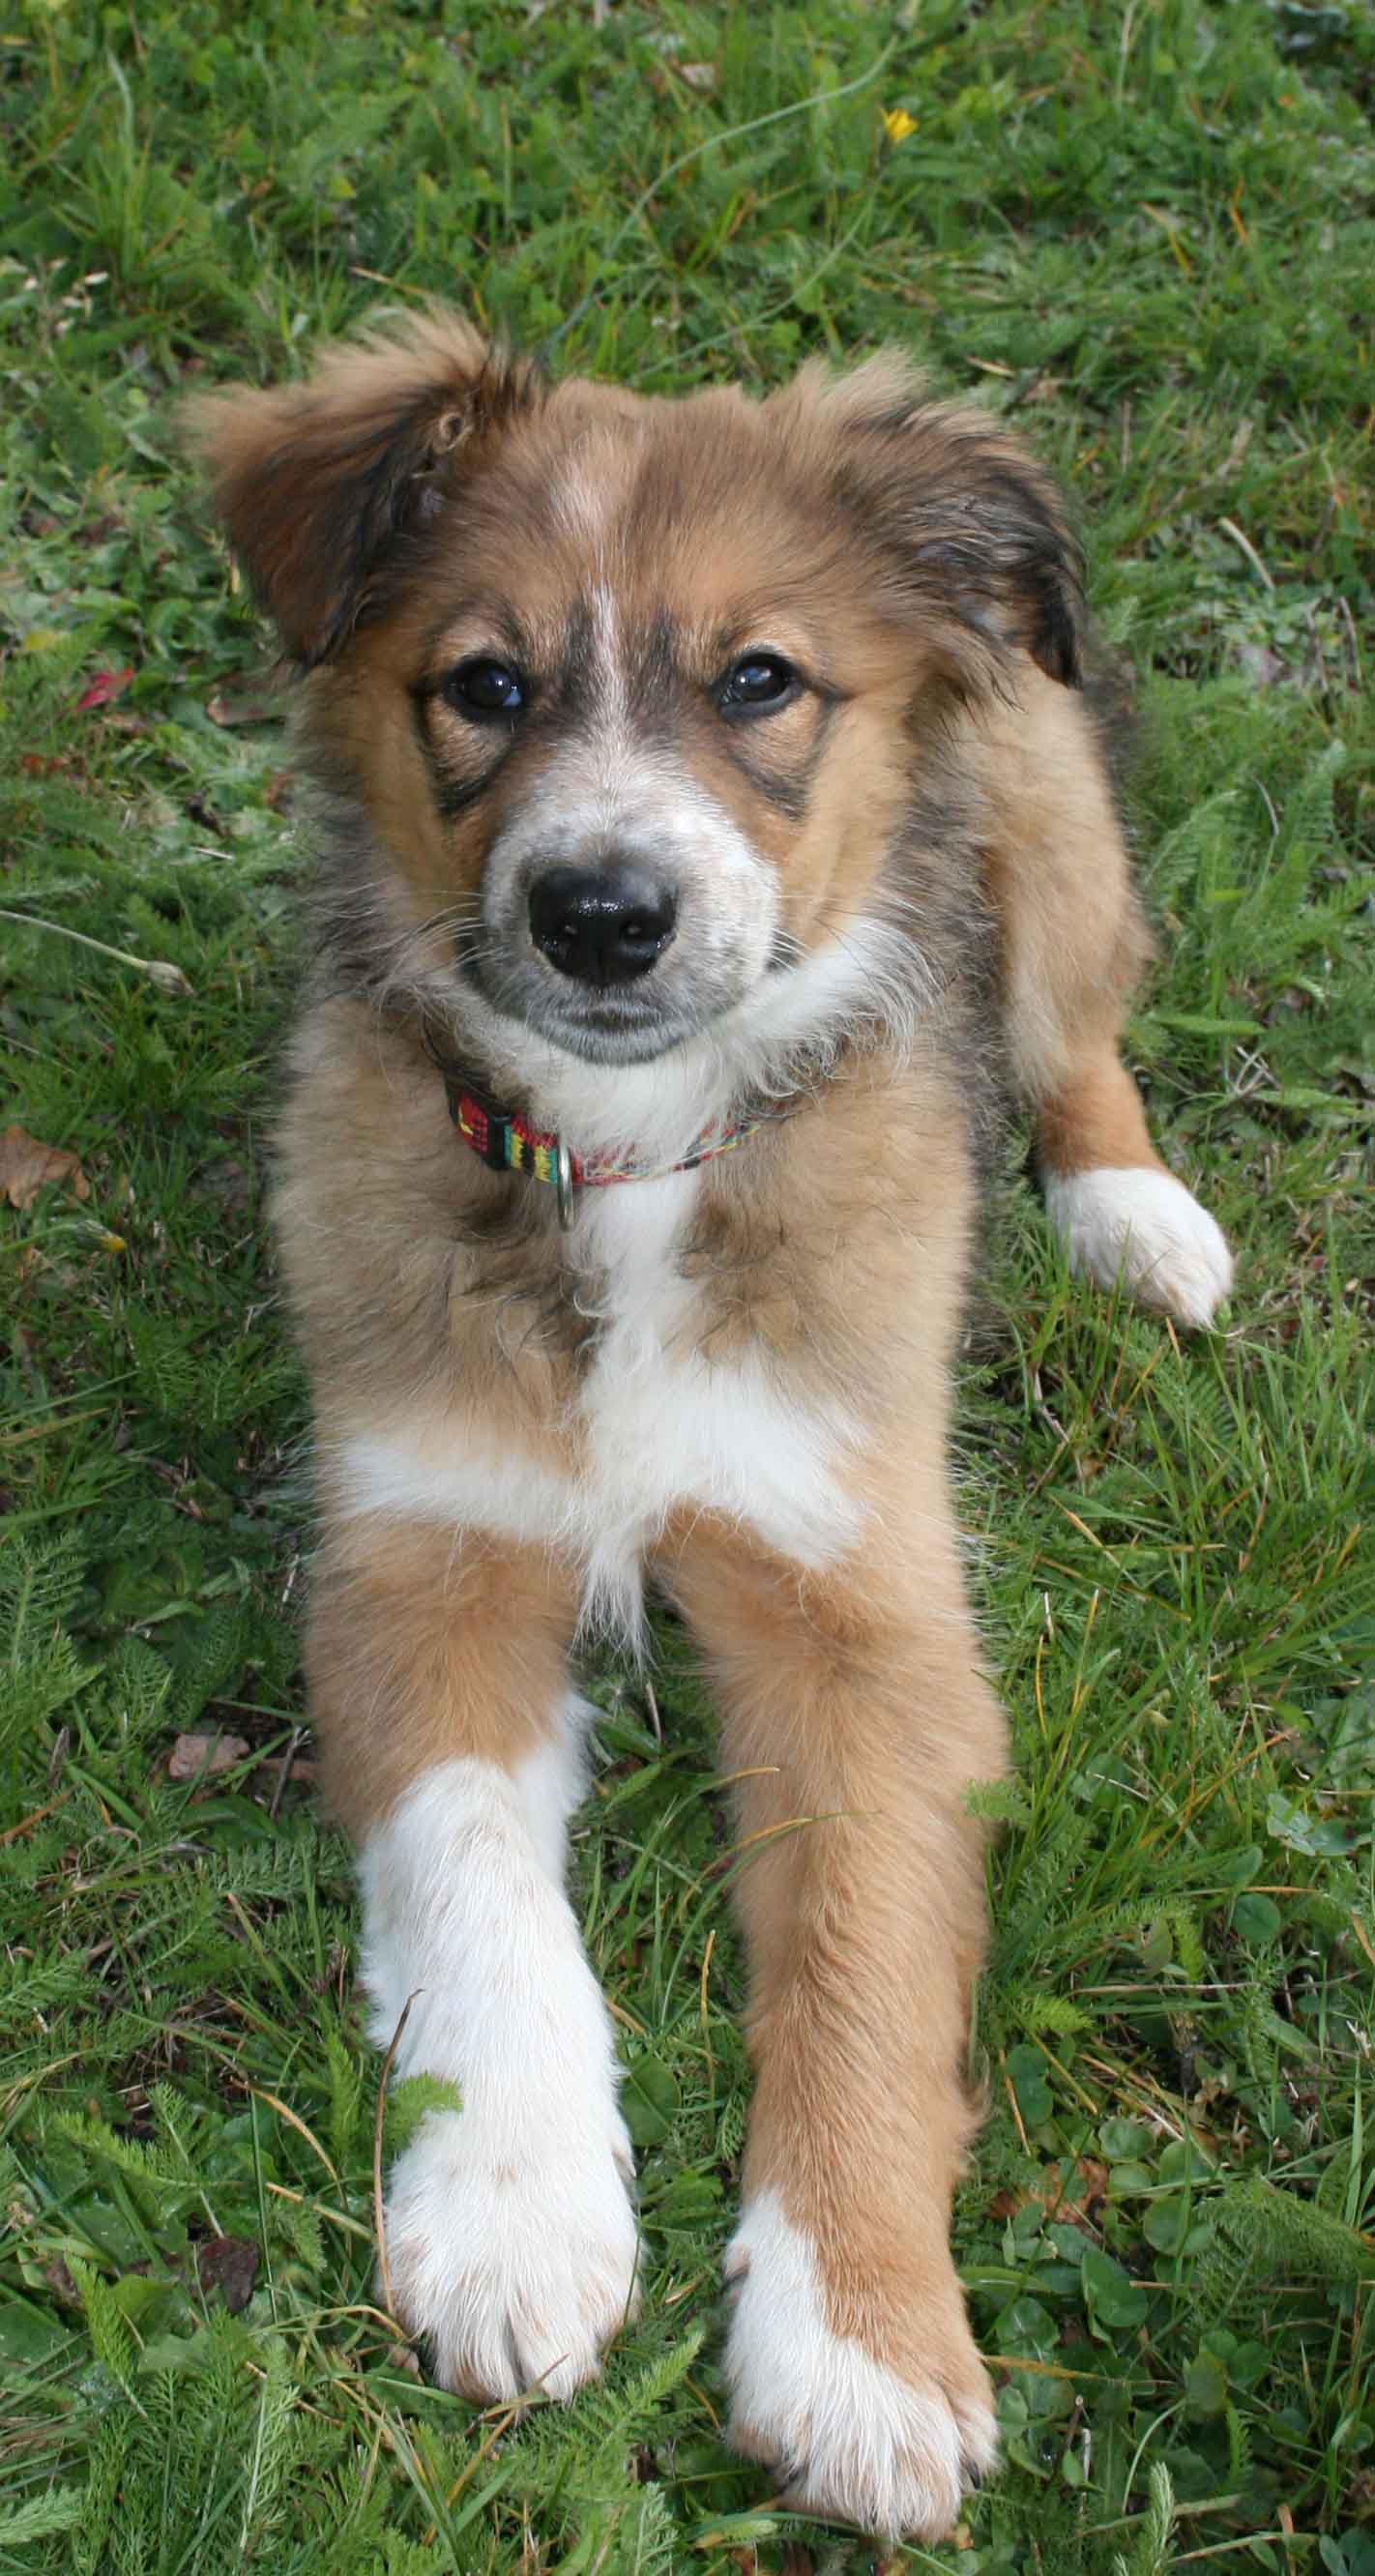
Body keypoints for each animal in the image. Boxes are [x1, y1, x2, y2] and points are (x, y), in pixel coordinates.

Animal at [191, 316, 1241, 2534]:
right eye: (482, 684)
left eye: (761, 680)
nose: (601, 913)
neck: (628, 1157)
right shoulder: (427, 1555)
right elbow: (478, 1890)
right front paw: (513, 2222)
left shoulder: (863, 1606)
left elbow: (860, 1970)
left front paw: (865, 2342)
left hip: (1046, 809)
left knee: (1074, 1029)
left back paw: (1134, 1216)